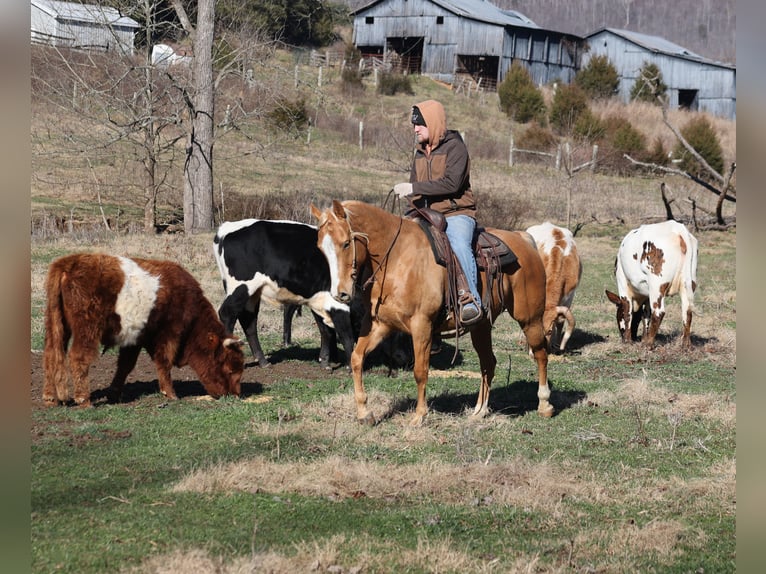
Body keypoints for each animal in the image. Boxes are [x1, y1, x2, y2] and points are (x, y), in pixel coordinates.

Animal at [311, 199, 553, 426]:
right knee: (488, 362)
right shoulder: (380, 325)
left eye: (345, 243)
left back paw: (544, 404)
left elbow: (420, 371)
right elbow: (356, 359)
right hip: (481, 326)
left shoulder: (422, 326)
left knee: (541, 354)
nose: (340, 294)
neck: (397, 258)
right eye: (320, 248)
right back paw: (479, 411)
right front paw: (364, 413)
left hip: (529, 318)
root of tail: (523, 240)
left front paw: (419, 416)